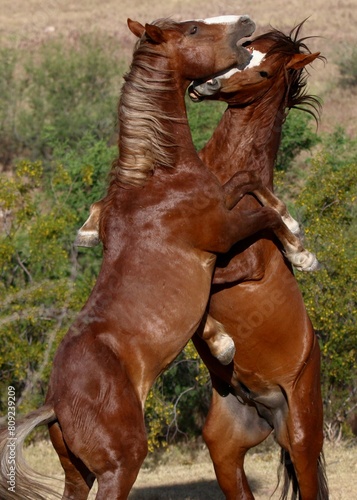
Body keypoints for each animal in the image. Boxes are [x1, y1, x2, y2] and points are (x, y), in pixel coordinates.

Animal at [0, 15, 314, 500]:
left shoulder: (223, 204)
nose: (244, 22)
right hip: (122, 463)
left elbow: (247, 182)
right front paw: (300, 253)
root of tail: (55, 404)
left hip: (78, 472)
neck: (155, 178)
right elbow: (260, 211)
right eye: (193, 30)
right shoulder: (224, 236)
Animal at [188, 21, 330, 498]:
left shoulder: (240, 268)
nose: (205, 86)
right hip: (225, 445)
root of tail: (265, 408)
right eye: (245, 49)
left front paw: (301, 252)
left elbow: (254, 189)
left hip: (303, 434)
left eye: (266, 72)